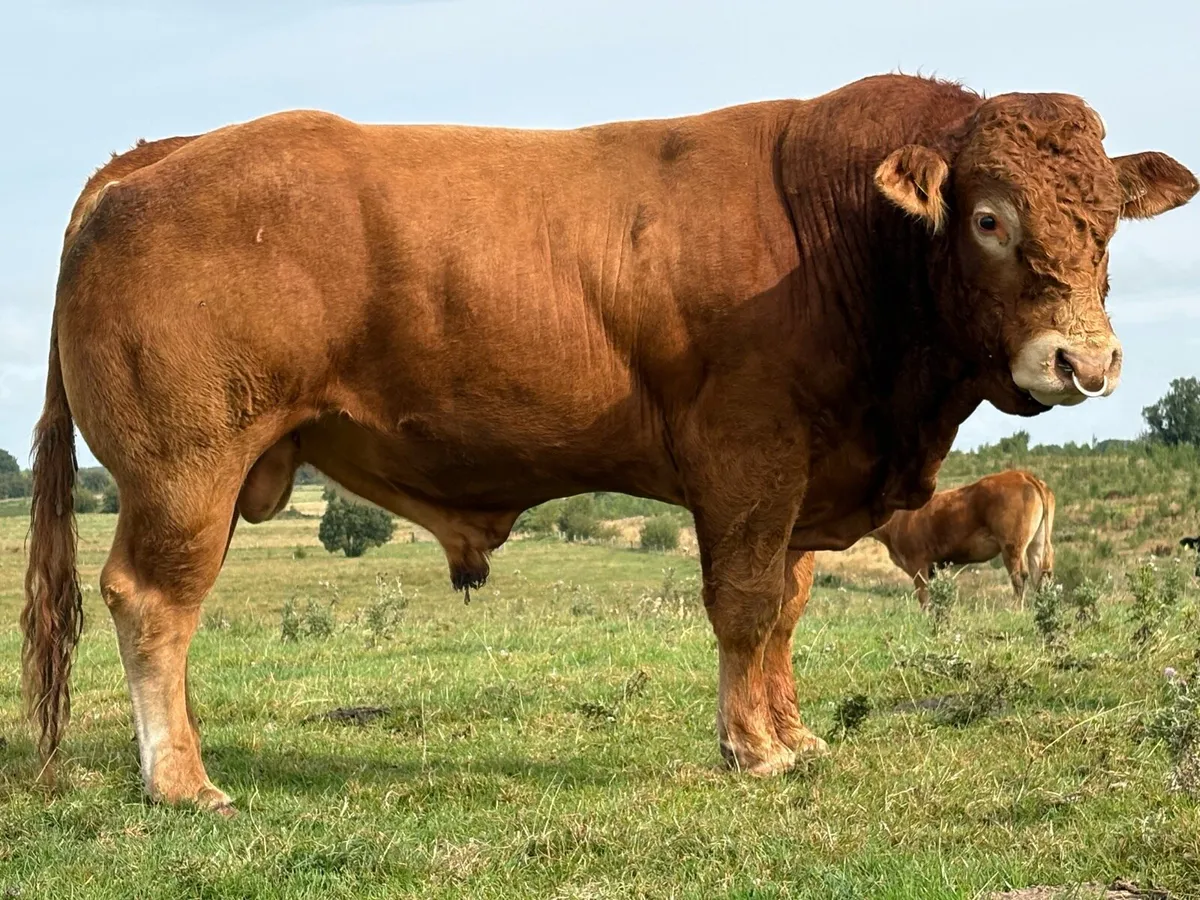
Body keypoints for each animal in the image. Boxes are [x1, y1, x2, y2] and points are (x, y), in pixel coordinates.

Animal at [867, 470, 1056, 609]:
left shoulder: (918, 563)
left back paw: (1016, 611)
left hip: (1012, 545)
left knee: (1019, 577)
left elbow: (924, 597)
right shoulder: (933, 567)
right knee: (1040, 575)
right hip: (1037, 542)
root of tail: (1023, 475)